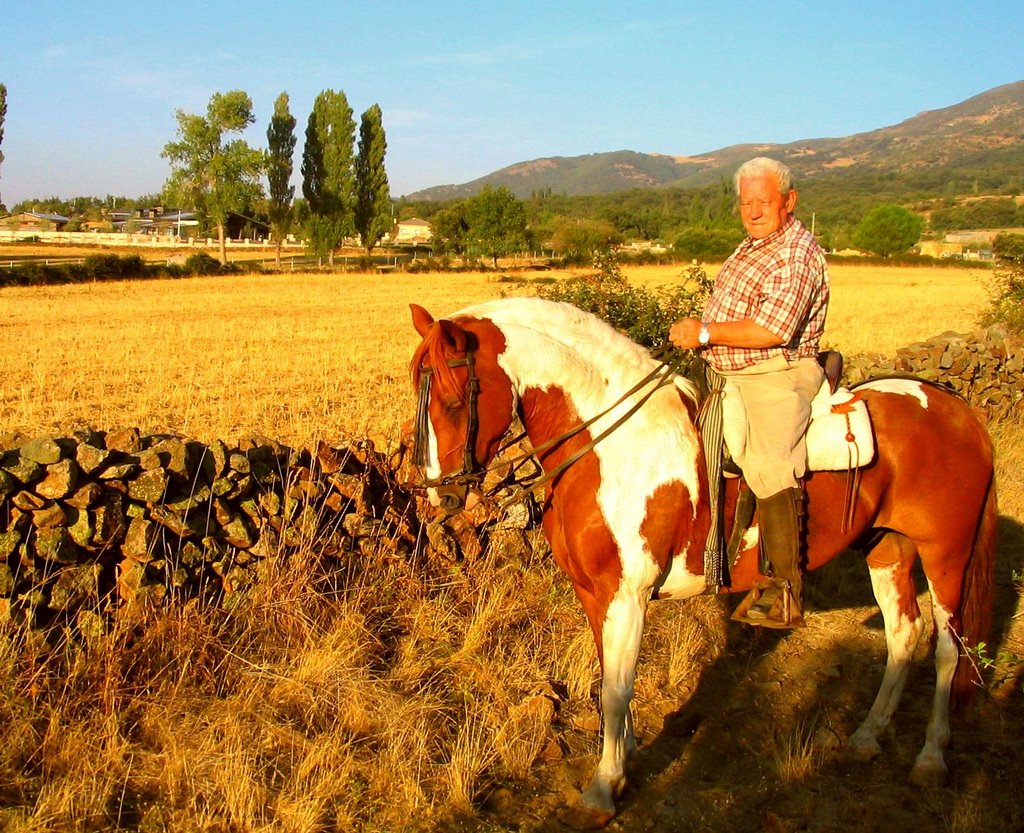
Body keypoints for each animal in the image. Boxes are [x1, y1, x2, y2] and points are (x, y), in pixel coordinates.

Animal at [405, 297, 991, 823]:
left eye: (453, 399)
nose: (439, 496)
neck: (612, 445)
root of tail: (955, 408)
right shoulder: (596, 595)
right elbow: (609, 678)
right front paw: (624, 756)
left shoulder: (628, 595)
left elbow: (615, 690)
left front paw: (603, 789)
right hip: (887, 547)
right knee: (903, 634)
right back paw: (867, 737)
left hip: (945, 555)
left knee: (947, 647)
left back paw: (930, 759)